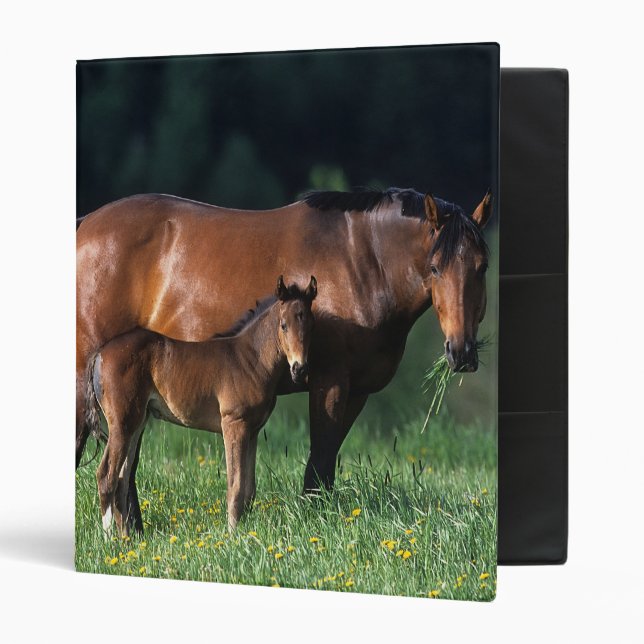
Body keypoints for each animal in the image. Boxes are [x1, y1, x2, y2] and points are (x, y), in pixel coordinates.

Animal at [85, 276, 317, 534]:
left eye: (310, 325)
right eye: (284, 325)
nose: (299, 369)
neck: (250, 358)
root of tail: (100, 353)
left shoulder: (253, 431)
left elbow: (249, 489)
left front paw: (244, 532)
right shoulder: (234, 424)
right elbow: (236, 486)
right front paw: (233, 535)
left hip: (136, 423)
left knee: (121, 480)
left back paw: (126, 539)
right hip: (122, 423)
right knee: (106, 476)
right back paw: (109, 539)